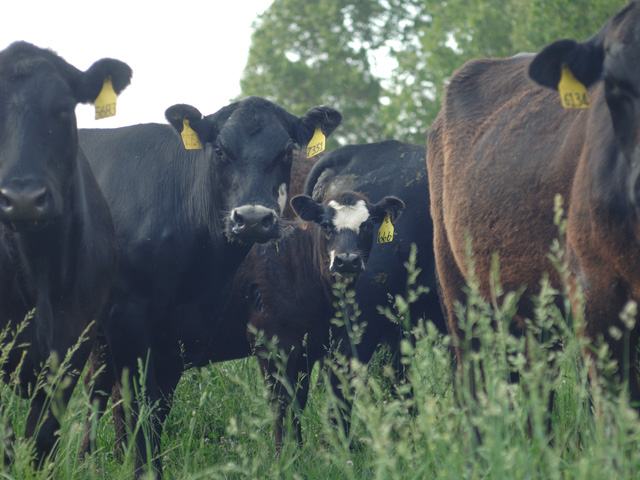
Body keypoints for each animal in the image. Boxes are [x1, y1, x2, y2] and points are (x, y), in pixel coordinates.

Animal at [77, 96, 342, 476]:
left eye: (287, 151)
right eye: (219, 150)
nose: (252, 220)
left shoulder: (180, 337)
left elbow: (156, 410)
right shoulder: (129, 322)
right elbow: (140, 403)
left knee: (97, 388)